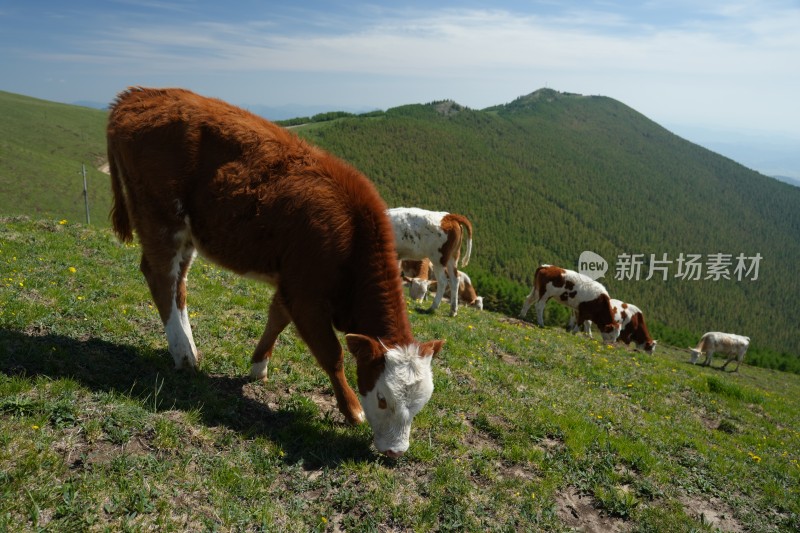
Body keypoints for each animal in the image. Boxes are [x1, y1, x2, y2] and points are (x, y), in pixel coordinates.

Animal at [105, 88, 444, 458]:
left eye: (419, 405)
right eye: (382, 399)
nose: (395, 451)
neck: (352, 239)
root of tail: (139, 94)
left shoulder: (290, 285)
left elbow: (276, 318)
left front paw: (258, 367)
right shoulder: (306, 297)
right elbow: (332, 355)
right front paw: (352, 410)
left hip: (188, 232)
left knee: (178, 284)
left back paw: (190, 349)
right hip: (161, 217)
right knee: (160, 277)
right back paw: (183, 355)